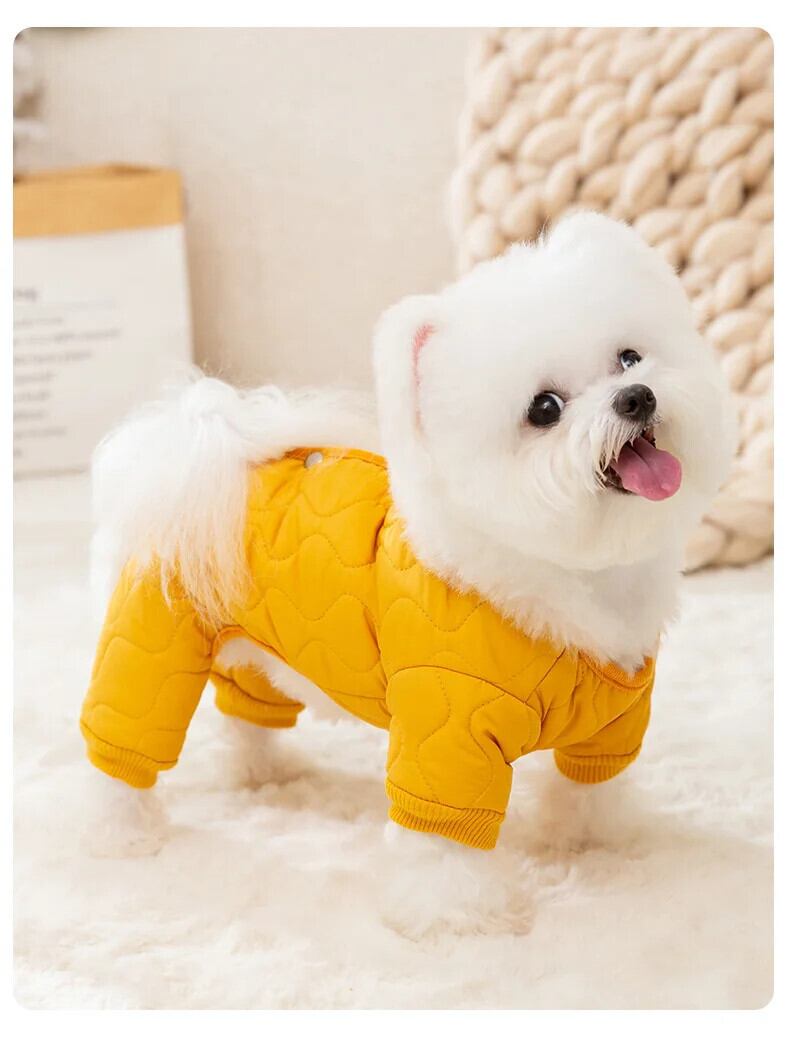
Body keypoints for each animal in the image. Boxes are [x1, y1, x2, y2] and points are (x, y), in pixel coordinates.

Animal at [79, 211, 731, 935]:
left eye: (630, 358)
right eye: (545, 408)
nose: (636, 398)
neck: (567, 579)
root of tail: (201, 447)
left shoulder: (611, 723)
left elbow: (590, 785)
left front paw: (594, 840)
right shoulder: (447, 729)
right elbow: (445, 839)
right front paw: (458, 915)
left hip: (254, 648)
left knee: (245, 712)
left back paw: (264, 774)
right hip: (152, 644)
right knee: (122, 742)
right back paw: (120, 832)